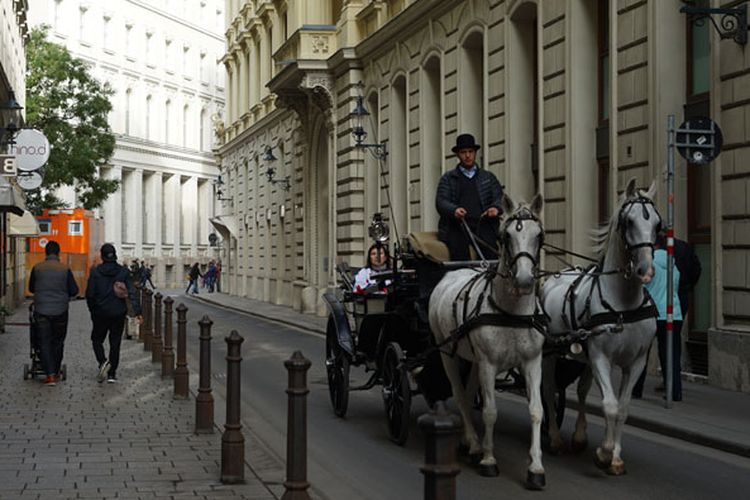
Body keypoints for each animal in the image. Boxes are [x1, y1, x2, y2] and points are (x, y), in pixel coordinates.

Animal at [432, 193, 548, 490]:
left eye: (539, 235)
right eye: (506, 236)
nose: (524, 280)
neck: (512, 313)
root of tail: (451, 272)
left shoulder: (533, 362)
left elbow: (536, 410)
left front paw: (536, 468)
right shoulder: (488, 363)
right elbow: (490, 411)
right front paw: (488, 460)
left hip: (473, 358)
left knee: (469, 388)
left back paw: (469, 441)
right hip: (447, 352)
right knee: (460, 393)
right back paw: (474, 444)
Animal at [540, 178, 656, 474]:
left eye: (658, 223)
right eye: (628, 221)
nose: (645, 270)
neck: (624, 304)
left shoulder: (635, 361)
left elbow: (622, 408)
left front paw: (615, 456)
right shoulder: (602, 356)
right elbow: (610, 405)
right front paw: (604, 453)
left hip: (583, 357)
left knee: (580, 391)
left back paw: (579, 437)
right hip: (549, 354)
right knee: (547, 389)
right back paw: (555, 439)